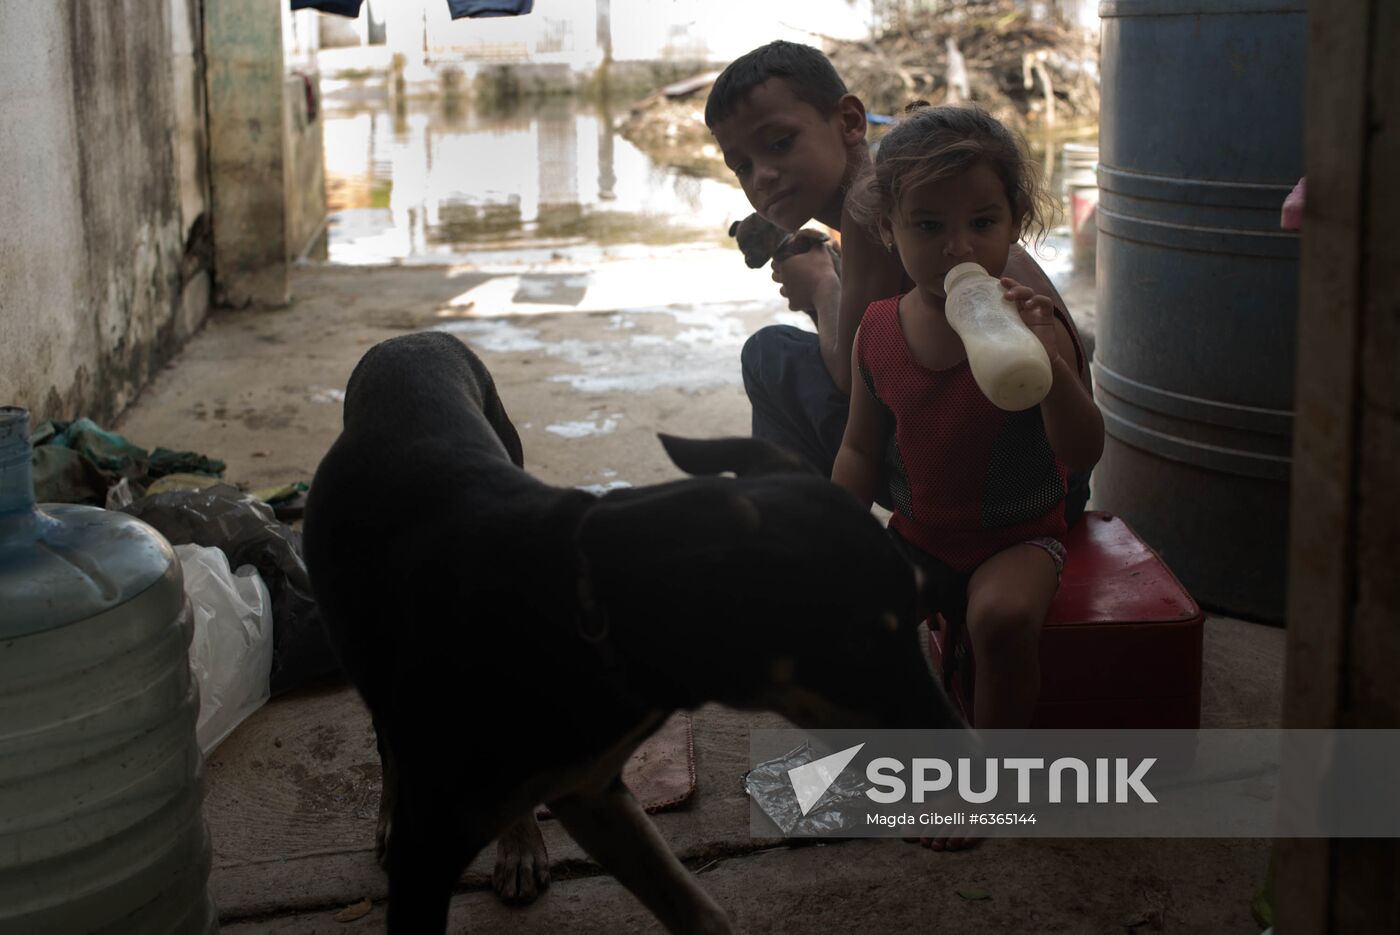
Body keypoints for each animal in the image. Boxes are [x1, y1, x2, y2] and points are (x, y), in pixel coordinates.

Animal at [306, 331, 963, 929]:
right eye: (856, 643)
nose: (971, 757)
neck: (584, 609)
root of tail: (407, 341)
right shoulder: (428, 852)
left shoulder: (590, 787)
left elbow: (699, 912)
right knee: (384, 735)